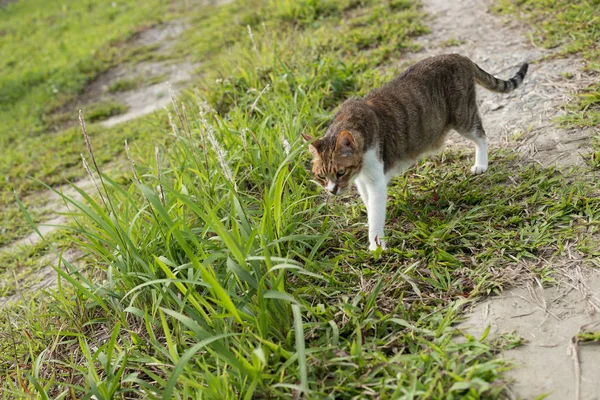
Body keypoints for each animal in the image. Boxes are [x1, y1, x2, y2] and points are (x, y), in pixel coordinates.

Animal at [302, 53, 528, 250]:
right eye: (322, 176)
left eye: (340, 172)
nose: (332, 191)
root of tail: (457, 56)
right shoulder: (362, 180)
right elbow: (369, 204)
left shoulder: (375, 177)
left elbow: (375, 212)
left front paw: (376, 245)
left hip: (462, 115)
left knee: (481, 135)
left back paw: (481, 164)